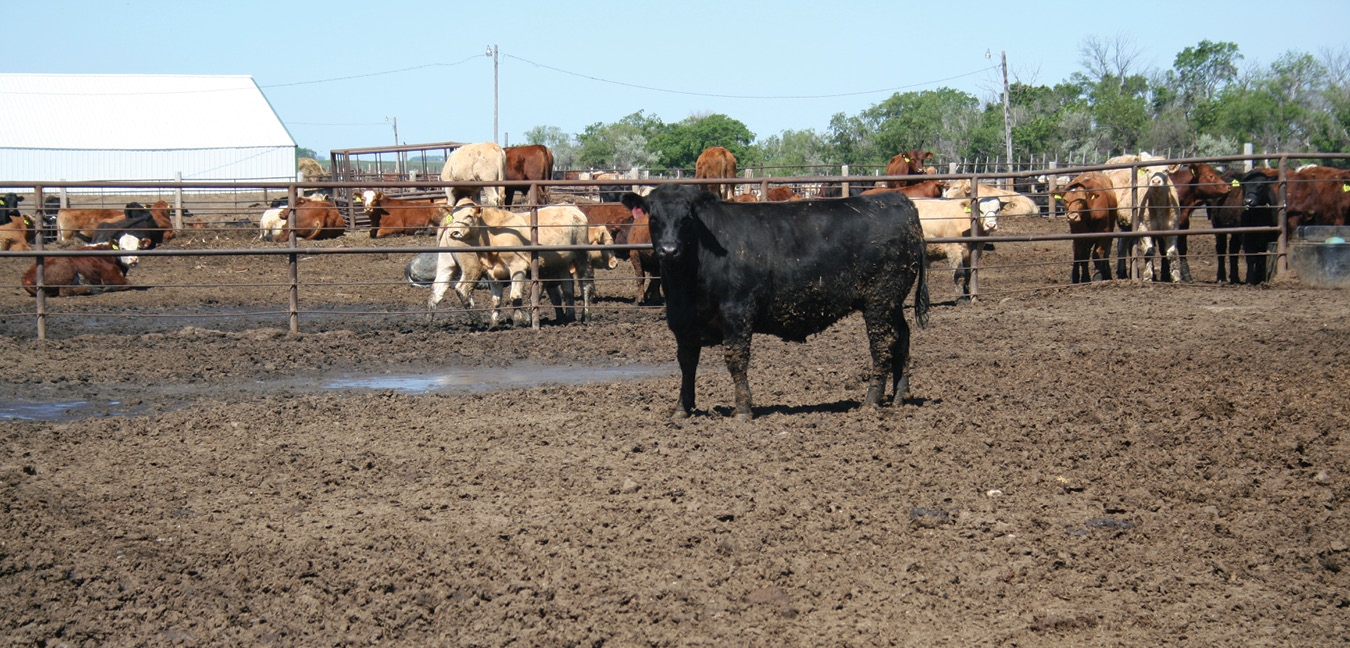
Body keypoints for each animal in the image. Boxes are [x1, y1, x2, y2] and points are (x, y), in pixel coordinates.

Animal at [441, 199, 593, 326]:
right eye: (453, 217)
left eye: (469, 216)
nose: (454, 232)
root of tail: (572, 207)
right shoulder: (492, 273)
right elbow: (496, 300)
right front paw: (493, 323)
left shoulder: (518, 267)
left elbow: (515, 296)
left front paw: (519, 321)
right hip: (562, 263)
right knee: (568, 287)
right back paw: (569, 316)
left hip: (581, 255)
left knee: (585, 283)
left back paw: (586, 316)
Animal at [619, 185, 929, 420]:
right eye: (653, 218)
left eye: (687, 219)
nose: (668, 250)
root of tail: (897, 199)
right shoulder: (682, 322)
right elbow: (686, 364)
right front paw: (681, 409)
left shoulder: (737, 312)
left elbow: (735, 359)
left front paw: (743, 410)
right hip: (892, 302)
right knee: (902, 337)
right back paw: (899, 396)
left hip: (880, 299)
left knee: (882, 344)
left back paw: (871, 401)